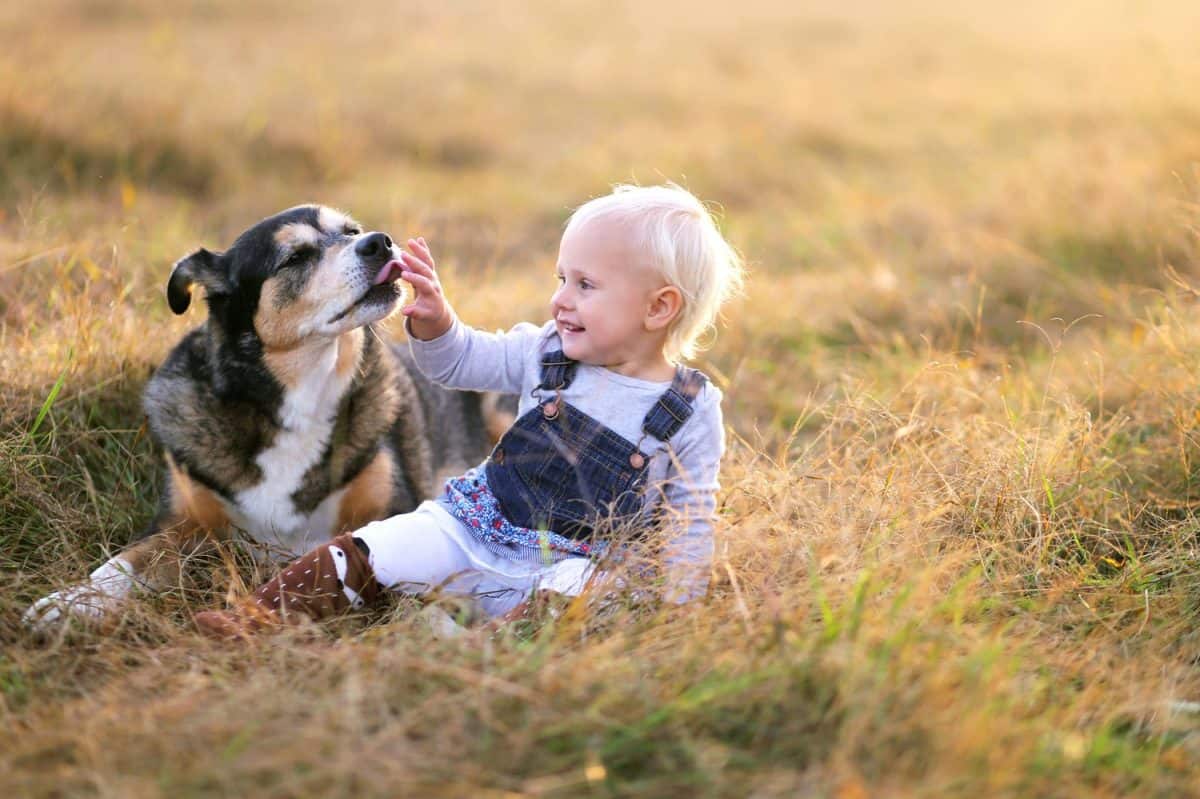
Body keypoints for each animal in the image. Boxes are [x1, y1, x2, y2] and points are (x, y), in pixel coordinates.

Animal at [27, 203, 506, 628]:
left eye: (351, 231)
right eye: (295, 257)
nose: (380, 242)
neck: (302, 395)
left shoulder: (393, 508)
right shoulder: (178, 523)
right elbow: (123, 563)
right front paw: (68, 602)